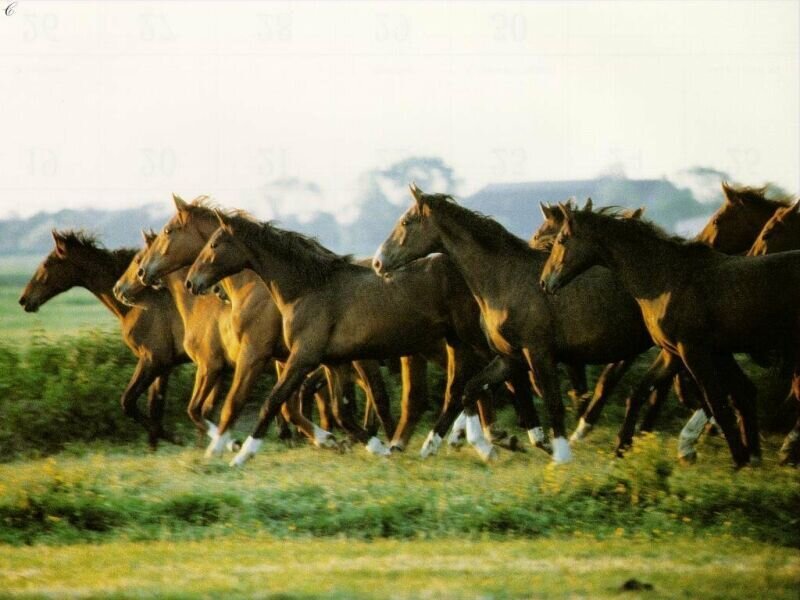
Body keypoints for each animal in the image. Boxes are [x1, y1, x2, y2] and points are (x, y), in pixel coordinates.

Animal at [19, 230, 187, 448]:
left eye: (47, 263)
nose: (24, 299)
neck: (139, 304)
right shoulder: (163, 367)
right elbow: (154, 409)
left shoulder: (154, 360)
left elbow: (128, 402)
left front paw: (177, 438)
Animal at [133, 196, 397, 456]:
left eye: (168, 231)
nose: (143, 272)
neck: (253, 286)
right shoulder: (283, 359)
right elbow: (287, 407)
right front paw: (325, 439)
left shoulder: (255, 353)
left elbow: (236, 403)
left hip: (360, 359)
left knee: (378, 397)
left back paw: (390, 442)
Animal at [185, 210, 528, 466]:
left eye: (214, 244)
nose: (191, 282)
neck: (307, 289)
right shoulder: (334, 363)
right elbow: (341, 411)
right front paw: (375, 447)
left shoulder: (302, 357)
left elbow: (273, 401)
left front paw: (241, 454)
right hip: (454, 342)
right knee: (461, 387)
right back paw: (453, 443)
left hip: (471, 338)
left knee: (501, 372)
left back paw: (503, 440)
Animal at [373, 184, 657, 464]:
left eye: (406, 221)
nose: (378, 262)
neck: (505, 279)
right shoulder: (510, 356)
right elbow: (473, 389)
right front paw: (441, 445)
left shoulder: (538, 353)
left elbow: (551, 401)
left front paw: (560, 455)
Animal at [540, 205, 800, 467]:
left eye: (561, 240)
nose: (544, 282)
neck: (665, 280)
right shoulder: (673, 352)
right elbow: (639, 393)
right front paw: (620, 450)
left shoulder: (693, 351)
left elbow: (717, 403)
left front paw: (738, 461)